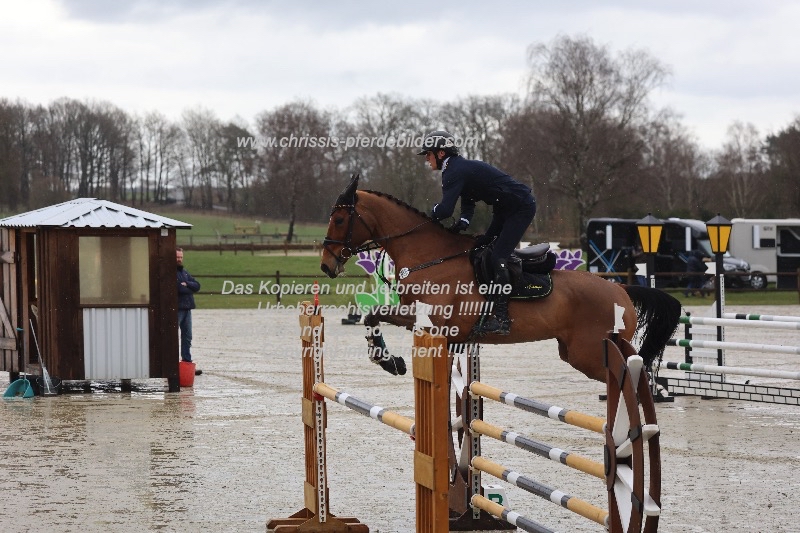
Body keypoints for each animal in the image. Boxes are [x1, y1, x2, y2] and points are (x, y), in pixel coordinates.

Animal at [320, 175, 680, 382]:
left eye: (338, 219)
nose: (326, 265)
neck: (429, 257)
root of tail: (620, 290)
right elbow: (372, 315)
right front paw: (389, 360)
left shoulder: (433, 322)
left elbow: (374, 314)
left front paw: (387, 359)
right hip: (578, 351)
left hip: (589, 352)